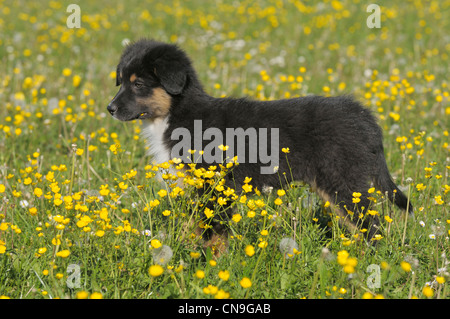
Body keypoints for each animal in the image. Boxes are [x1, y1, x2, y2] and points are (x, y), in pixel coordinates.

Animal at [108, 40, 412, 249]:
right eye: (121, 82)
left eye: (139, 84)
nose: (110, 108)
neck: (175, 114)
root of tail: (363, 116)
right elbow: (202, 229)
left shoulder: (216, 187)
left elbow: (214, 233)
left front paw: (210, 266)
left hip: (343, 182)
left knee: (369, 227)